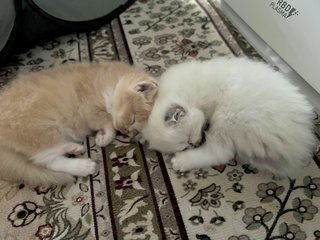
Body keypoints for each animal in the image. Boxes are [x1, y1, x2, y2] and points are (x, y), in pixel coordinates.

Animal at [0, 62, 158, 186]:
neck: (113, 82)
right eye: (132, 118)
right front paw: (105, 136)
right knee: (47, 160)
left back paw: (74, 148)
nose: (125, 130)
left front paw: (103, 135)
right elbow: (107, 123)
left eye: (133, 129)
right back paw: (82, 166)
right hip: (41, 130)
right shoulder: (90, 107)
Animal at [142, 56, 316, 176]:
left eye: (189, 138)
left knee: (219, 153)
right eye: (185, 145)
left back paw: (182, 161)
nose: (195, 144)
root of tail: (299, 145)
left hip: (229, 116)